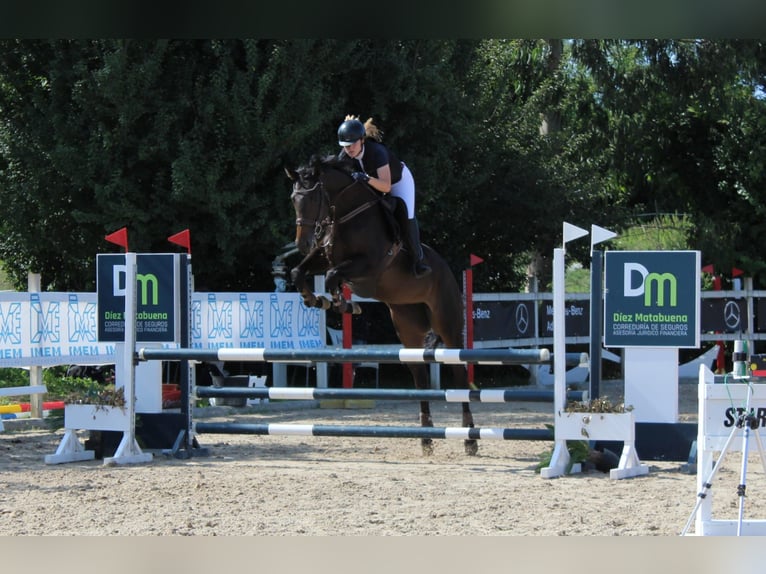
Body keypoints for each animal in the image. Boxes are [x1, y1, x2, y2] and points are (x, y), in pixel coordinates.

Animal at [288, 155, 480, 456]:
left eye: (313, 198)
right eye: (293, 200)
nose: (303, 242)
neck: (346, 215)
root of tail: (448, 272)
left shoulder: (368, 264)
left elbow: (332, 276)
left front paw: (342, 303)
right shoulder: (324, 256)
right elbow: (299, 272)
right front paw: (316, 299)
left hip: (448, 324)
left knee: (459, 375)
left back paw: (470, 439)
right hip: (408, 328)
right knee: (420, 377)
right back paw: (426, 438)